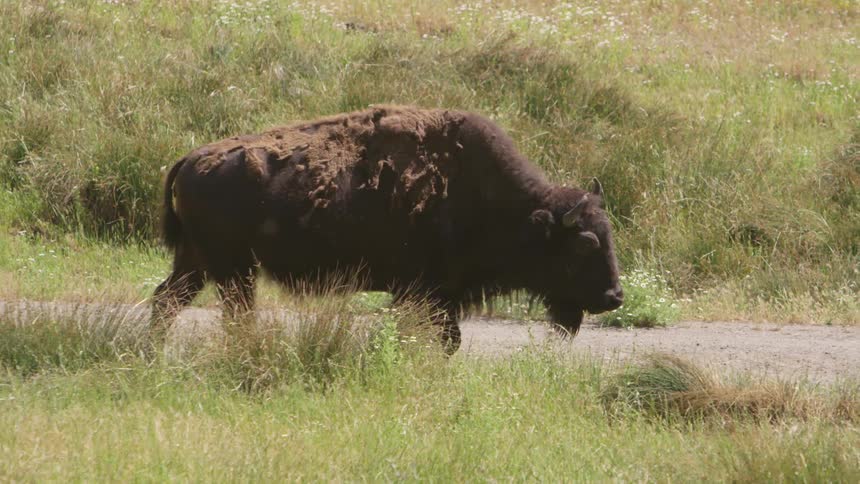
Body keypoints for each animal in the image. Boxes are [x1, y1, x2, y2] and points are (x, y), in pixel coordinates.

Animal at [152, 106, 623, 352]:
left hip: (198, 263)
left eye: (609, 234)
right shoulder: (426, 292)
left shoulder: (434, 295)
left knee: (166, 300)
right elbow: (444, 339)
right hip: (232, 270)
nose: (615, 296)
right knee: (232, 315)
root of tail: (191, 159)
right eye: (584, 244)